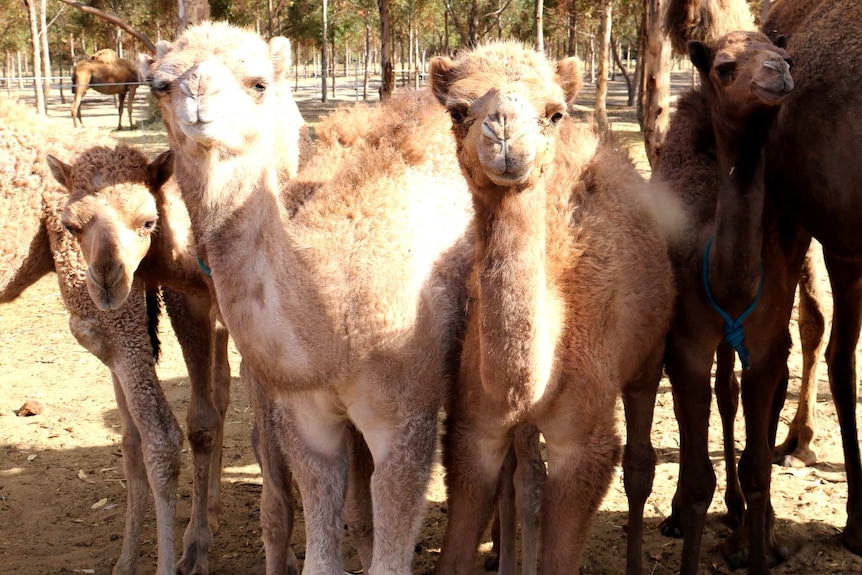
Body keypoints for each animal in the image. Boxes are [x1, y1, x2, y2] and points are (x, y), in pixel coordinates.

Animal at [144, 21, 476, 575]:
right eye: (161, 85)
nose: (199, 97)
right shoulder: (306, 417)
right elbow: (320, 551)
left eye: (259, 83)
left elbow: (391, 553)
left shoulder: (406, 414)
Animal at [428, 42, 680, 572]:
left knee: (639, 461)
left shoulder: (583, 442)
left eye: (554, 112)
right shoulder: (473, 428)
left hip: (649, 357)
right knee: (522, 478)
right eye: (458, 111)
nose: (504, 131)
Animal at [652, 31, 800, 575]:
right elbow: (699, 482)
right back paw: (676, 515)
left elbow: (759, 472)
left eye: (786, 55)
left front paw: (757, 553)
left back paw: (735, 511)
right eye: (724, 66)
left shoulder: (768, 346)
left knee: (727, 393)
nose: (779, 71)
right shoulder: (687, 344)